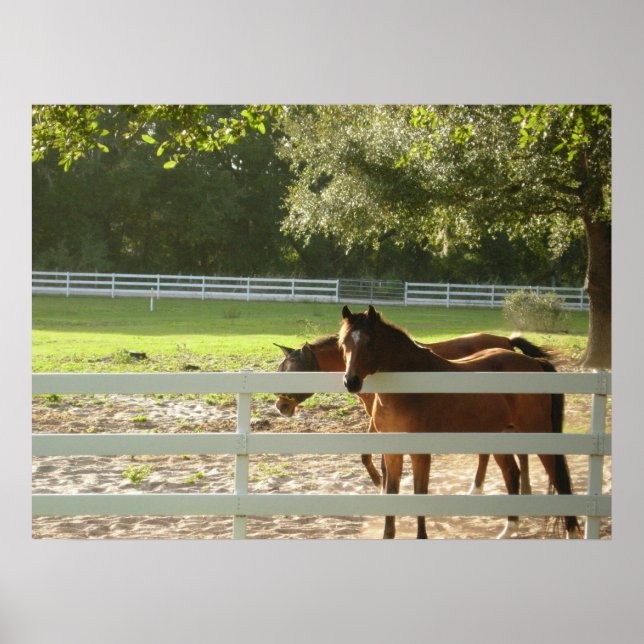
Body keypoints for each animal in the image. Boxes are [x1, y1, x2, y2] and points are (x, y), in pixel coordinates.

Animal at [339, 305, 580, 540]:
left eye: (370, 342)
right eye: (344, 343)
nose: (351, 381)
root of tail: (535, 363)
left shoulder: (420, 453)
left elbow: (420, 491)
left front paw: (422, 536)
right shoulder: (392, 452)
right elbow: (391, 491)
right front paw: (388, 535)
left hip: (537, 431)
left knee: (557, 476)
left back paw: (570, 532)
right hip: (501, 434)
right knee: (512, 474)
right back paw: (509, 530)